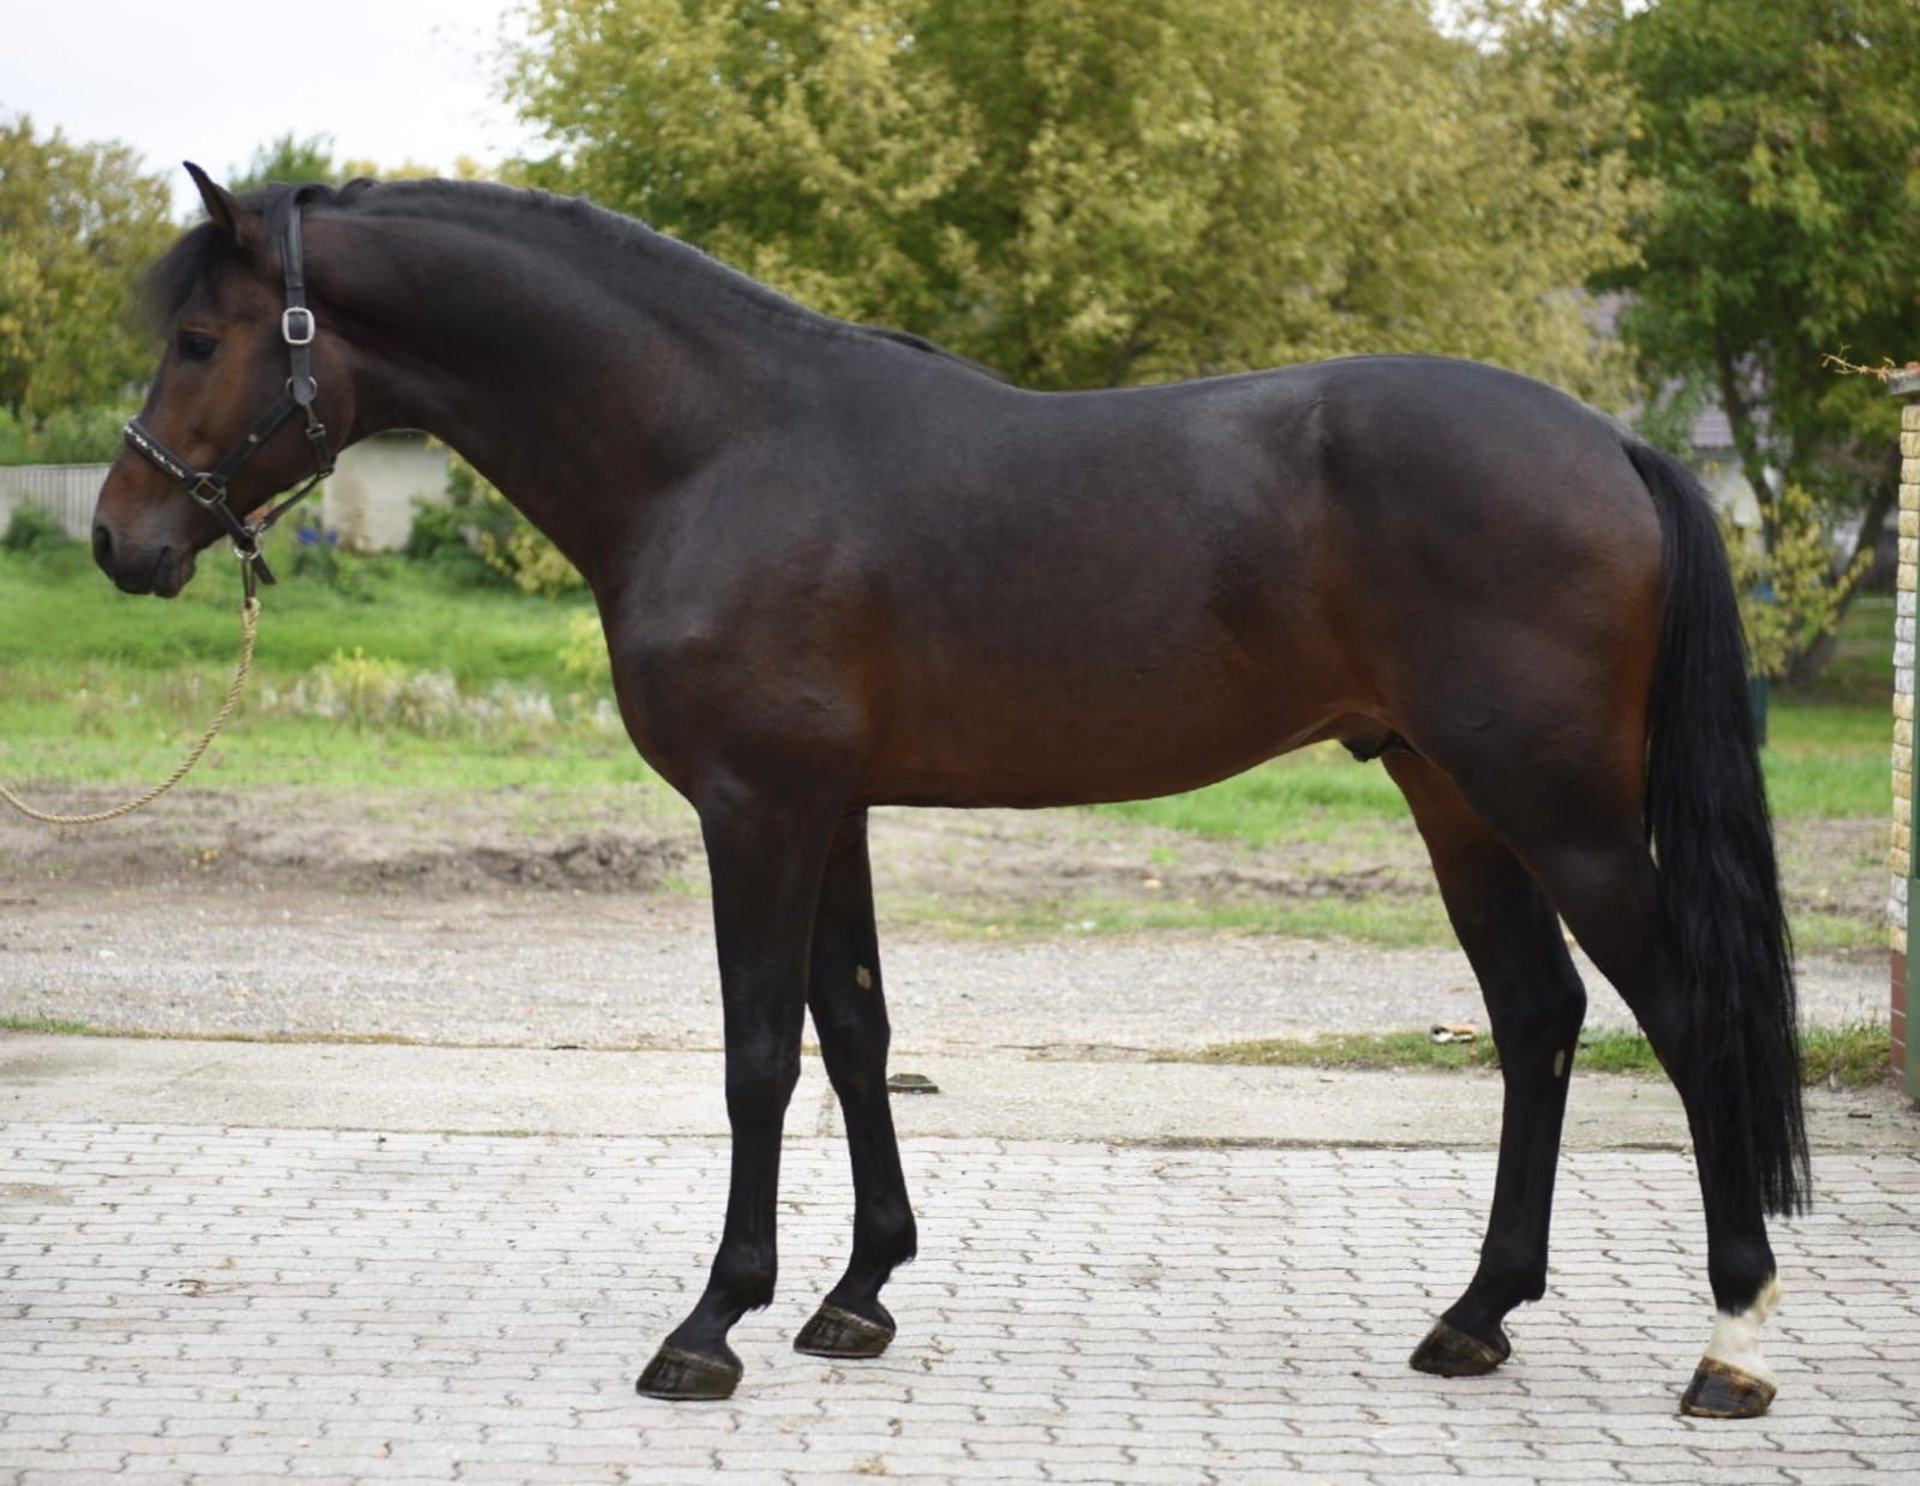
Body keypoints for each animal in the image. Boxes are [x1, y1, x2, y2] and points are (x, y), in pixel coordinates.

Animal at [91, 166, 1807, 1418]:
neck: (713, 449)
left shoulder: (756, 808)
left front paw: (712, 1319)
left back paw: (1734, 1338)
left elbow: (758, 1055)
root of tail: (1614, 444)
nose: (122, 539)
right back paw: (1477, 1313)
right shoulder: (825, 806)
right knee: (1537, 1013)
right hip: (1454, 792)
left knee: (1681, 1006)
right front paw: (858, 1293)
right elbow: (856, 1032)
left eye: (198, 342)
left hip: (1556, 801)